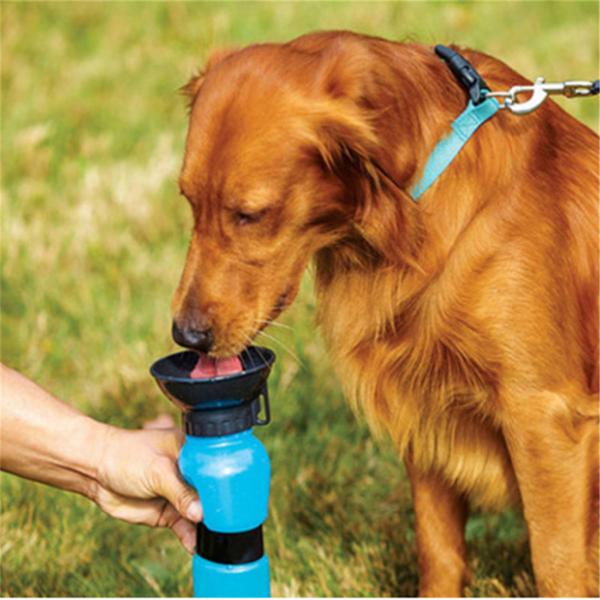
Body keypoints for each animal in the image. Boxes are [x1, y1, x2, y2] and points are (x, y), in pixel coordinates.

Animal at [170, 29, 600, 596]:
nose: (186, 336)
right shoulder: (424, 404)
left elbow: (556, 565)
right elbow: (438, 551)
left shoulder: (545, 417)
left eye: (250, 214)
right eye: (188, 201)